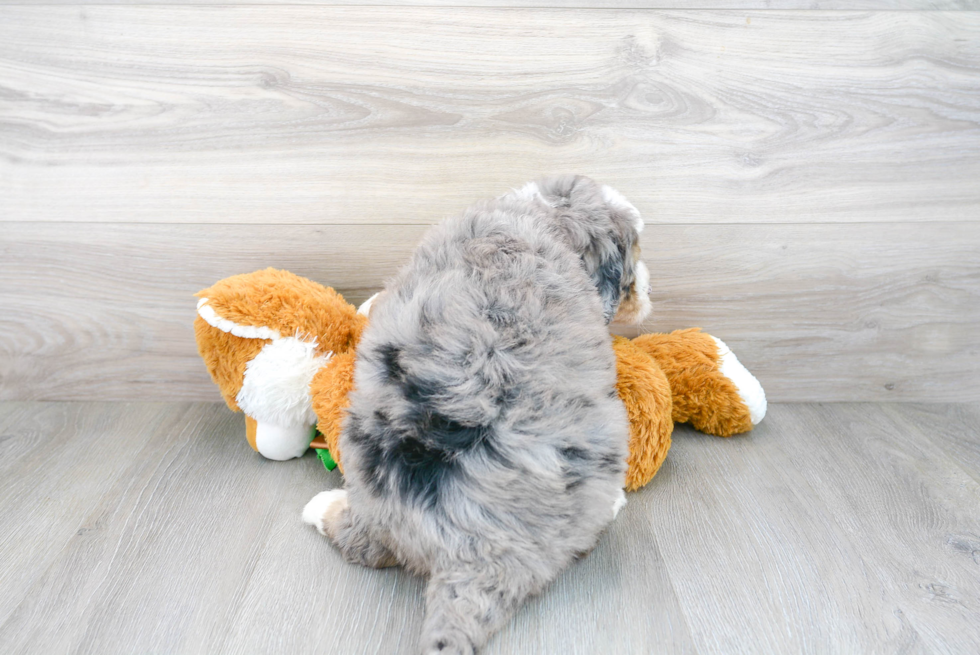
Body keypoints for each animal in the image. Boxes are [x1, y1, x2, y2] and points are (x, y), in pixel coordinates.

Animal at [298, 176, 652, 655]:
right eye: (635, 253)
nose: (649, 289)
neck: (541, 218)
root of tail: (465, 554)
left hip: (369, 485)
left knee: (362, 543)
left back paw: (323, 507)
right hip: (599, 446)